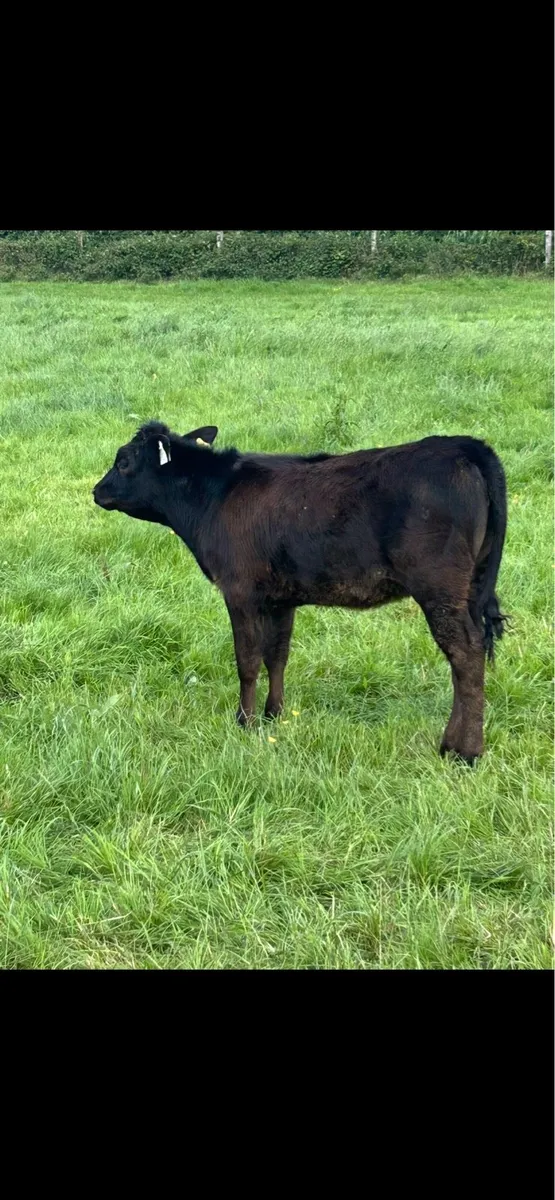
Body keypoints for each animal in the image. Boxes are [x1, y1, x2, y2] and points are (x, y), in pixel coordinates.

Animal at [93, 421, 508, 764]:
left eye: (124, 461)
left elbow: (247, 661)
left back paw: (464, 751)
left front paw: (245, 722)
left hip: (440, 587)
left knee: (465, 655)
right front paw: (273, 715)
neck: (214, 499)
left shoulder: (239, 592)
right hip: (471, 585)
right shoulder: (281, 598)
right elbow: (277, 655)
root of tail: (463, 445)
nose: (97, 491)